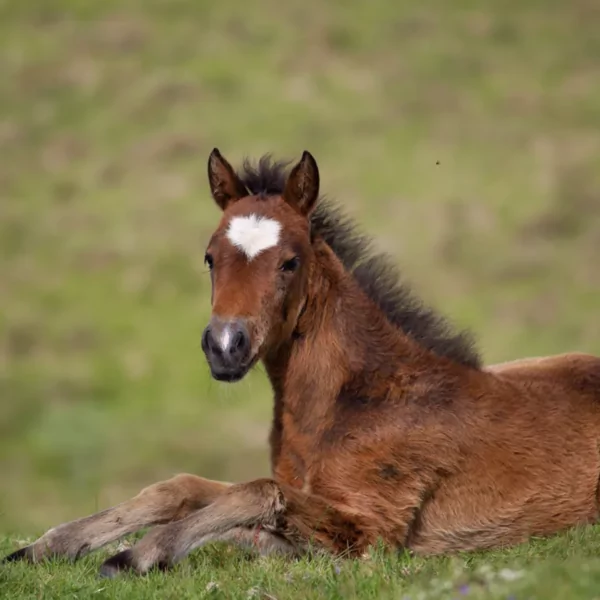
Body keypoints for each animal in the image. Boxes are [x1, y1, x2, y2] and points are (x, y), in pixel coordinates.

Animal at [4, 150, 600, 576]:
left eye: (290, 262)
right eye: (209, 258)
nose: (225, 345)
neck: (360, 400)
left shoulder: (371, 533)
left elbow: (256, 494)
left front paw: (140, 553)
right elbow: (183, 488)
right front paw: (49, 545)